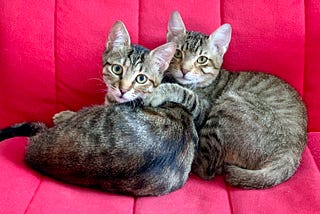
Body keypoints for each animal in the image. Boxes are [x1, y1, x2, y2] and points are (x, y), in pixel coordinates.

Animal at [145, 11, 308, 189]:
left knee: (207, 169)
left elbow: (185, 93)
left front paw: (158, 91)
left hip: (228, 103)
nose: (184, 70)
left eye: (201, 59)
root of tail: (291, 154)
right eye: (178, 53)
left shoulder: (205, 109)